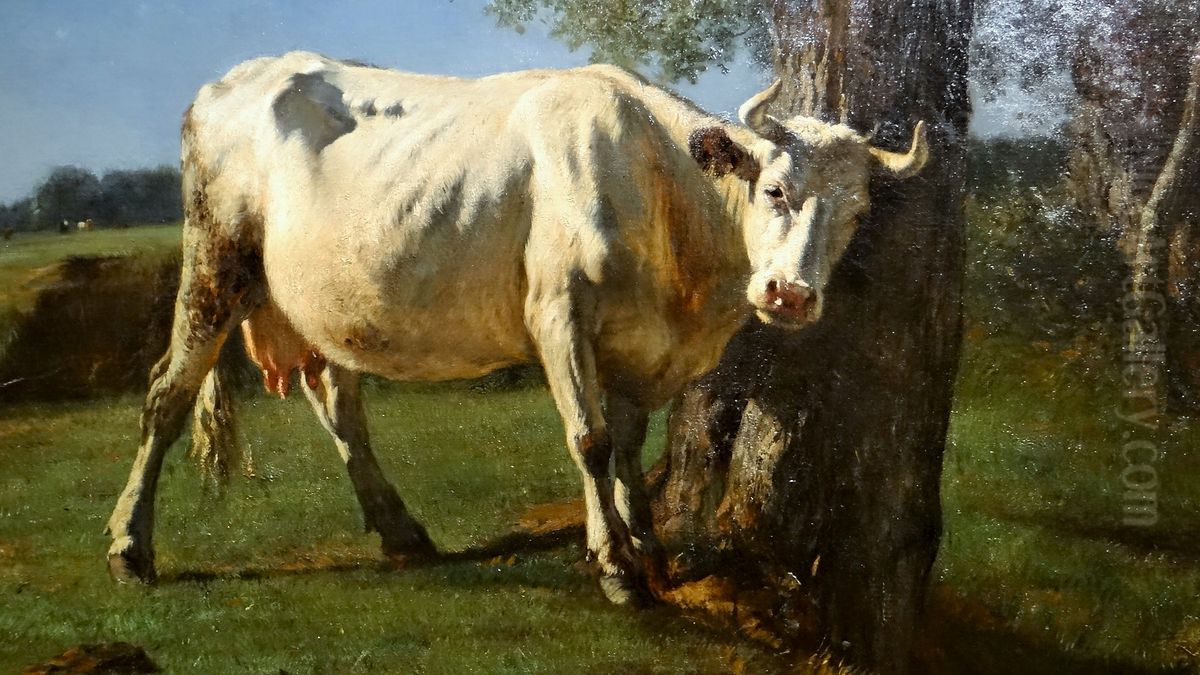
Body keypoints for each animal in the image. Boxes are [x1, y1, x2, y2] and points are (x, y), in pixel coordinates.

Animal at [105, 52, 927, 605]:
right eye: (774, 189)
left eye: (857, 213)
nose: (789, 294)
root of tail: (237, 77)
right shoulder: (558, 312)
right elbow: (591, 440)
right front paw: (617, 569)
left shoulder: (642, 347)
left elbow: (630, 444)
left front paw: (650, 548)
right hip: (215, 258)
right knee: (167, 393)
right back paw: (129, 547)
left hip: (324, 300)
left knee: (336, 402)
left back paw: (401, 531)